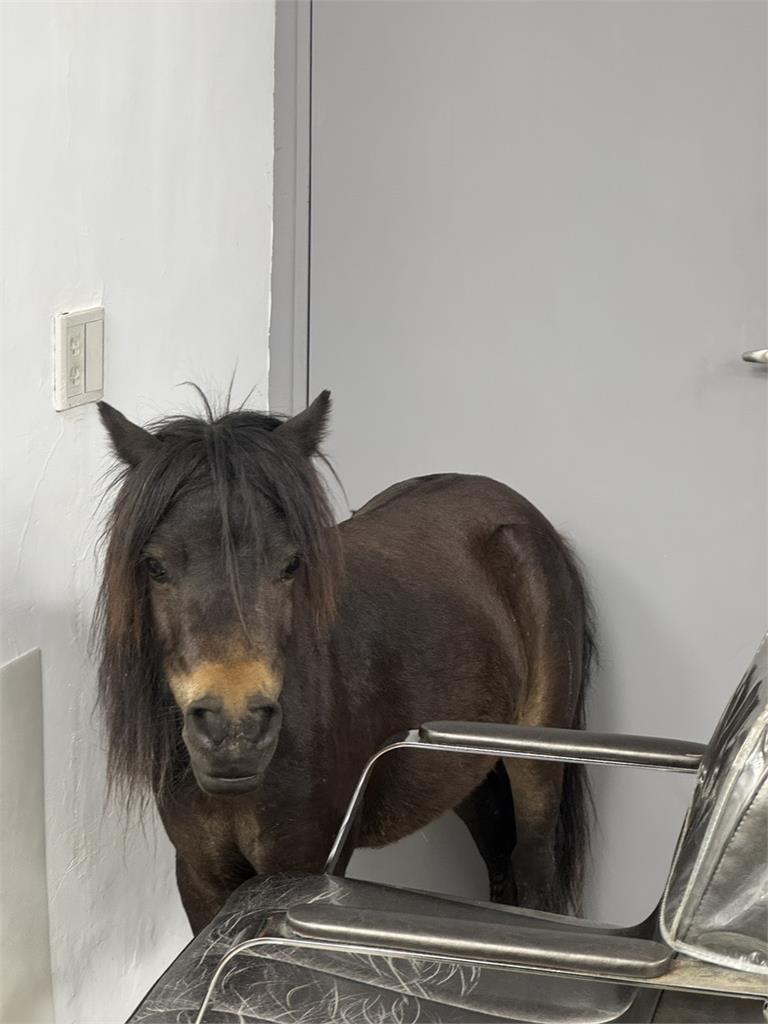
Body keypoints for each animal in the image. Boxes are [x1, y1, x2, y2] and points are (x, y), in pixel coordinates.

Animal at [95, 391, 595, 933]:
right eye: (154, 566)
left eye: (291, 564)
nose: (235, 732)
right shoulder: (200, 874)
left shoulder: (297, 874)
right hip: (468, 771)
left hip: (537, 771)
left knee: (534, 876)